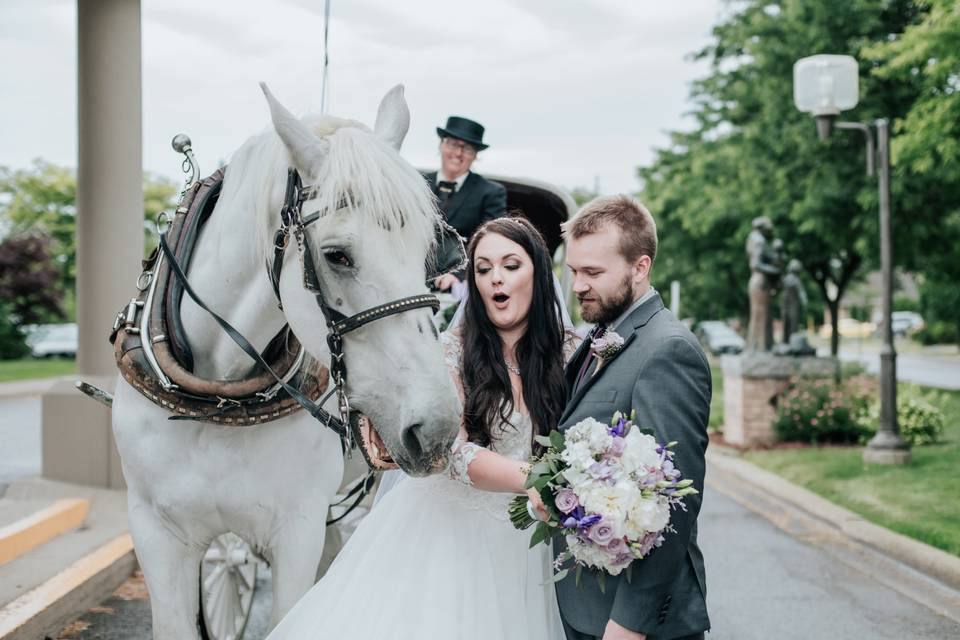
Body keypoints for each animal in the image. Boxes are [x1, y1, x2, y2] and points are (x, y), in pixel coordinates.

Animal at [110, 86, 460, 640]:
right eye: (337, 255)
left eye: (434, 250)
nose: (438, 429)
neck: (219, 398)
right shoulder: (154, 533)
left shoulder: (297, 528)